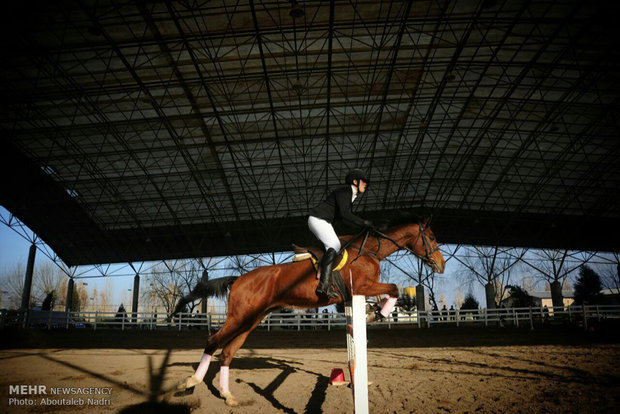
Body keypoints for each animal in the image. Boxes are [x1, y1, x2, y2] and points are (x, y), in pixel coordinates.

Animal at [172, 218, 444, 406]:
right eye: (431, 237)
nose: (441, 266)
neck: (369, 251)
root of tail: (238, 278)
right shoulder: (362, 288)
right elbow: (394, 288)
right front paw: (374, 313)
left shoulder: (355, 294)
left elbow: (391, 292)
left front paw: (372, 311)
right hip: (239, 317)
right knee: (213, 341)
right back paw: (191, 382)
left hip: (250, 321)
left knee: (227, 353)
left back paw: (228, 396)